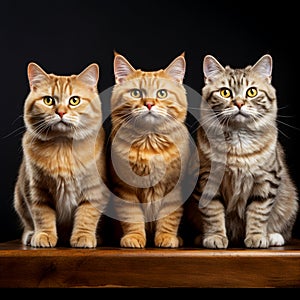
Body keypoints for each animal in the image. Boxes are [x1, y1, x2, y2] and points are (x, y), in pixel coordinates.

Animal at [14, 62, 108, 247]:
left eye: (74, 100)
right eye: (48, 100)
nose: (61, 112)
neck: (62, 147)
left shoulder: (94, 189)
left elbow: (87, 215)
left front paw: (83, 236)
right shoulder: (37, 190)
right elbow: (42, 215)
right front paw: (44, 235)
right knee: (28, 223)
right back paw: (31, 234)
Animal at [109, 52, 190, 248]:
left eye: (162, 93)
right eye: (136, 93)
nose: (149, 104)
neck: (149, 144)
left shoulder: (174, 188)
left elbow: (169, 217)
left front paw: (166, 237)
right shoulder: (125, 189)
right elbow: (132, 217)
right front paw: (134, 237)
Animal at [186, 53, 298, 248]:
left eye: (251, 92)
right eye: (225, 92)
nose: (239, 103)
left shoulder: (267, 180)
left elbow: (258, 212)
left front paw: (256, 237)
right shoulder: (206, 179)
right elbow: (213, 213)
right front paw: (215, 236)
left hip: (290, 201)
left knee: (284, 230)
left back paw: (273, 236)